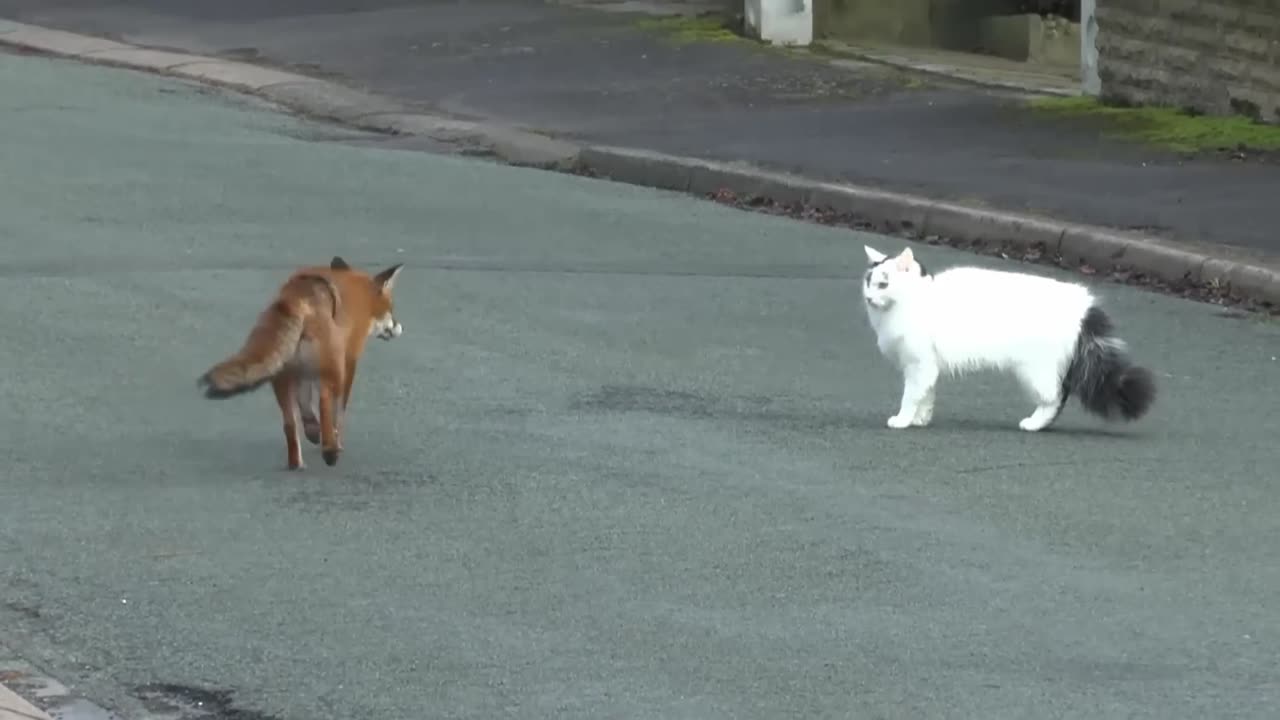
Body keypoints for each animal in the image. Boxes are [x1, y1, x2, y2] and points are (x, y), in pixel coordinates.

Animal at [198, 254, 404, 468]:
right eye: (391, 309)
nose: (399, 327)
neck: (360, 295)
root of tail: (296, 297)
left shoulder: (304, 373)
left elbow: (305, 403)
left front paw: (312, 429)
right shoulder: (348, 362)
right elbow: (338, 414)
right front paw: (337, 442)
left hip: (282, 375)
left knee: (290, 424)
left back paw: (298, 460)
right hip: (333, 371)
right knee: (324, 404)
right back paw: (329, 451)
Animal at [865, 243, 1157, 427]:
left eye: (884, 284)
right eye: (868, 282)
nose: (868, 297)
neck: (913, 301)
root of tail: (1083, 303)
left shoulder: (919, 365)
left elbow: (910, 396)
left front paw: (903, 420)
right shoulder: (927, 368)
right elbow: (926, 397)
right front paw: (920, 420)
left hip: (1035, 370)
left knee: (1055, 398)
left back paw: (1033, 424)